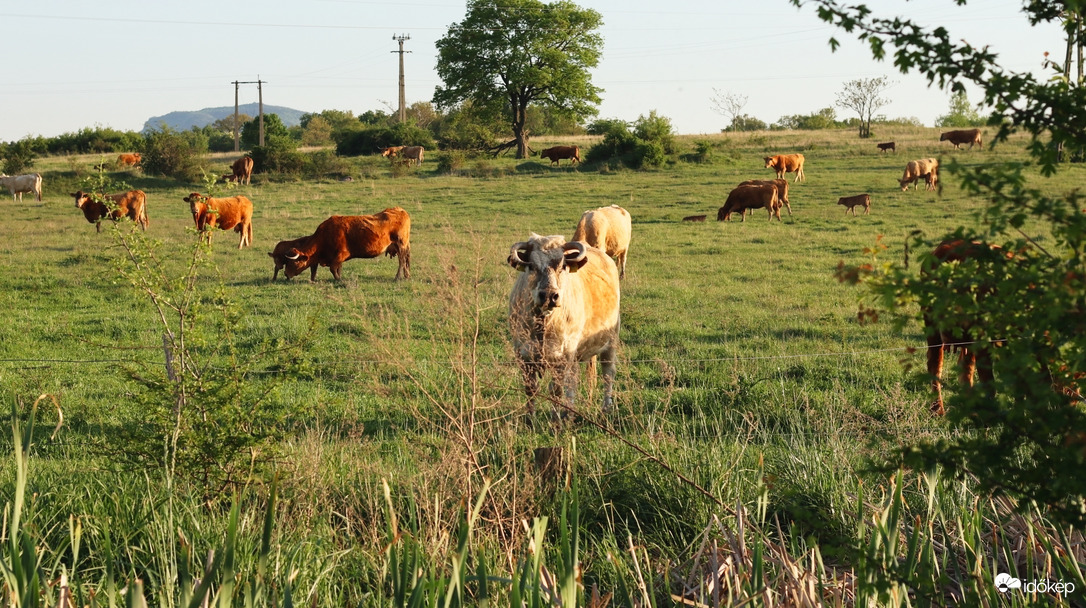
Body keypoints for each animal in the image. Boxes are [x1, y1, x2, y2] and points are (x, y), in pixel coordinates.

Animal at [268, 207, 410, 282]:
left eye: (294, 262)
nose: (286, 274)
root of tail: (400, 210)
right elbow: (337, 268)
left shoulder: (340, 255)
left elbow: (333, 268)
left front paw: (339, 279)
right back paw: (406, 275)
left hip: (400, 244)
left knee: (402, 261)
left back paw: (397, 277)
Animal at [506, 232, 621, 412]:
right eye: (532, 266)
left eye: (563, 266)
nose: (549, 295)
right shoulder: (523, 356)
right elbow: (531, 390)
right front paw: (530, 418)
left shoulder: (562, 357)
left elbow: (556, 391)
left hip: (611, 340)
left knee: (608, 373)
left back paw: (606, 408)